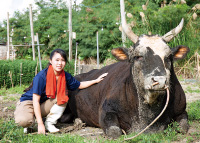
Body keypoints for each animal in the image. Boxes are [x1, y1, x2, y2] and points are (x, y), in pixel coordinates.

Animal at [60, 16, 189, 139]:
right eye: (138, 56)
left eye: (169, 57)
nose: (160, 80)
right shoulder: (106, 111)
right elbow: (114, 132)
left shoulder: (182, 110)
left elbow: (183, 128)